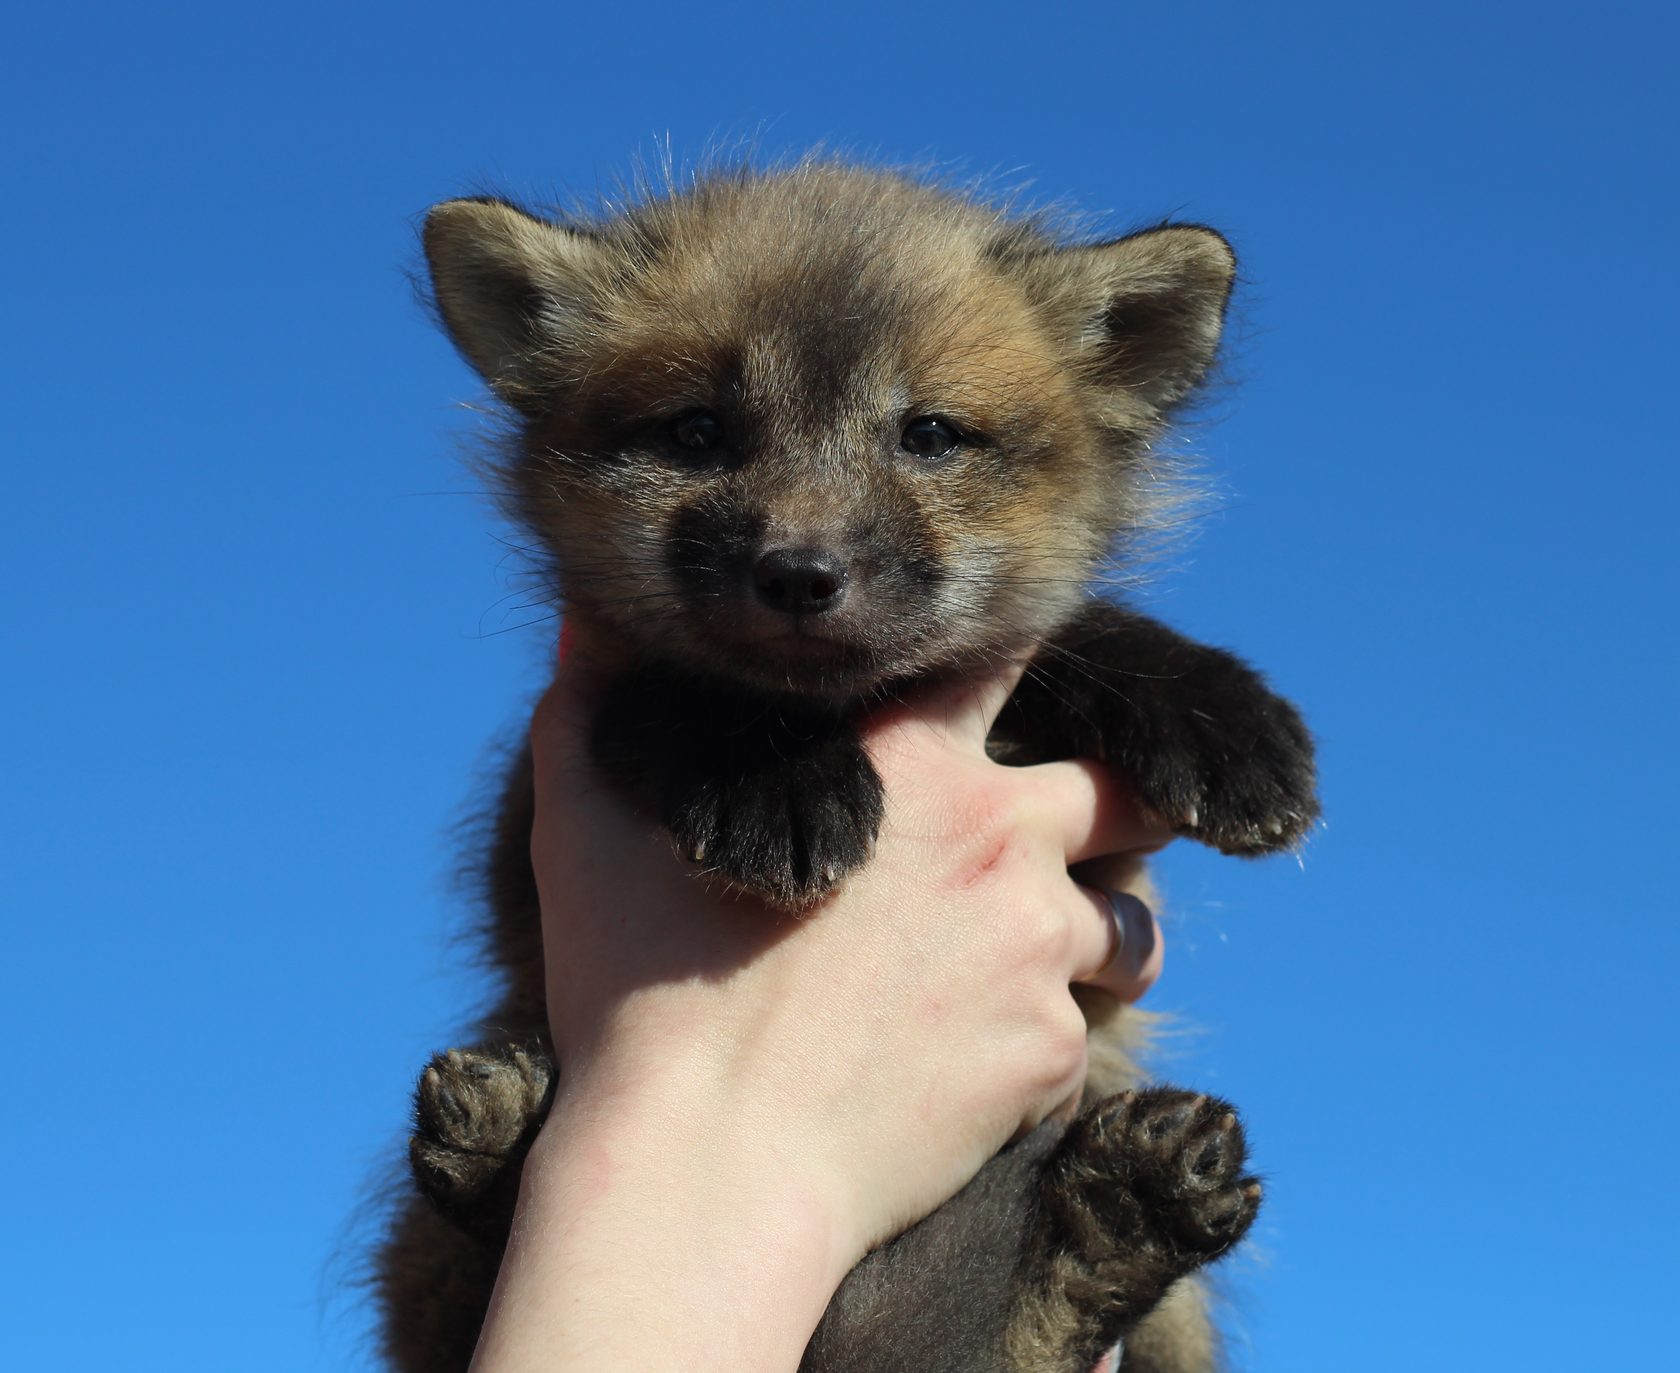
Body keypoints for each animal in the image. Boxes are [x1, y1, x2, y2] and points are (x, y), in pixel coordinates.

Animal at [374, 163, 1317, 1371]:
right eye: (697, 430)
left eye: (930, 434)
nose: (799, 572)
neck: (855, 709)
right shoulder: (564, 748)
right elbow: (691, 688)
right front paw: (776, 785)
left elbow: (1075, 635)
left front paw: (1223, 719)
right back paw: (493, 1149)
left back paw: (1114, 1218)